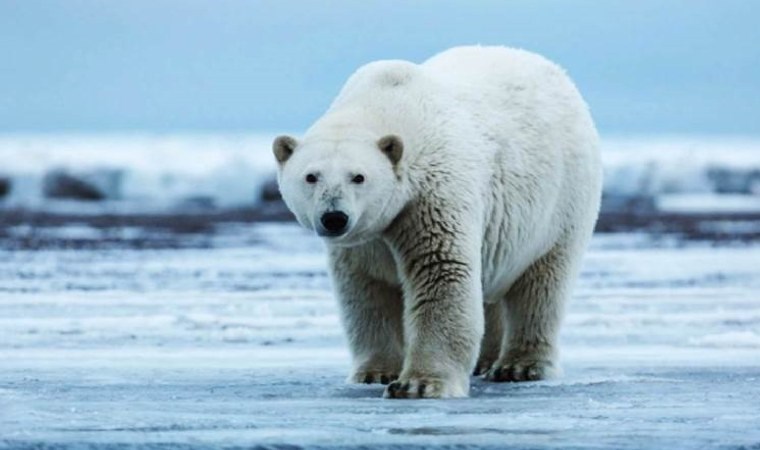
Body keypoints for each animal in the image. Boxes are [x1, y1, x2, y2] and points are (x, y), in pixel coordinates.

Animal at [274, 44, 604, 398]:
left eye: (358, 177)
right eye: (311, 176)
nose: (334, 217)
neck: (388, 101)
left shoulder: (432, 196)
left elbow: (441, 271)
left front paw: (418, 384)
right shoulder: (366, 239)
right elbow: (368, 290)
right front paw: (375, 373)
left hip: (561, 202)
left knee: (543, 284)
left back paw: (519, 366)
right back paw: (485, 360)